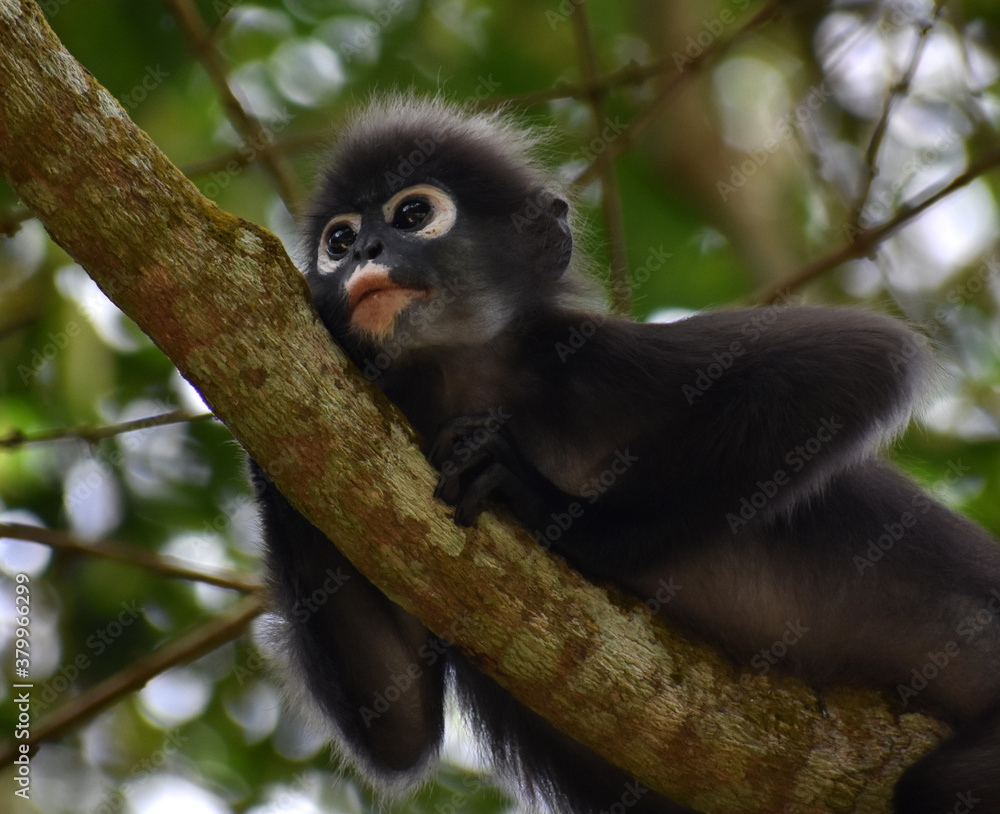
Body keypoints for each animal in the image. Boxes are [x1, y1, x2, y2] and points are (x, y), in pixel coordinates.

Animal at [250, 95, 1000, 813]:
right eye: (339, 239)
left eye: (411, 213)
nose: (364, 250)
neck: (466, 377)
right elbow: (399, 723)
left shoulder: (588, 361)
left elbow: (859, 359)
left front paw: (544, 506)